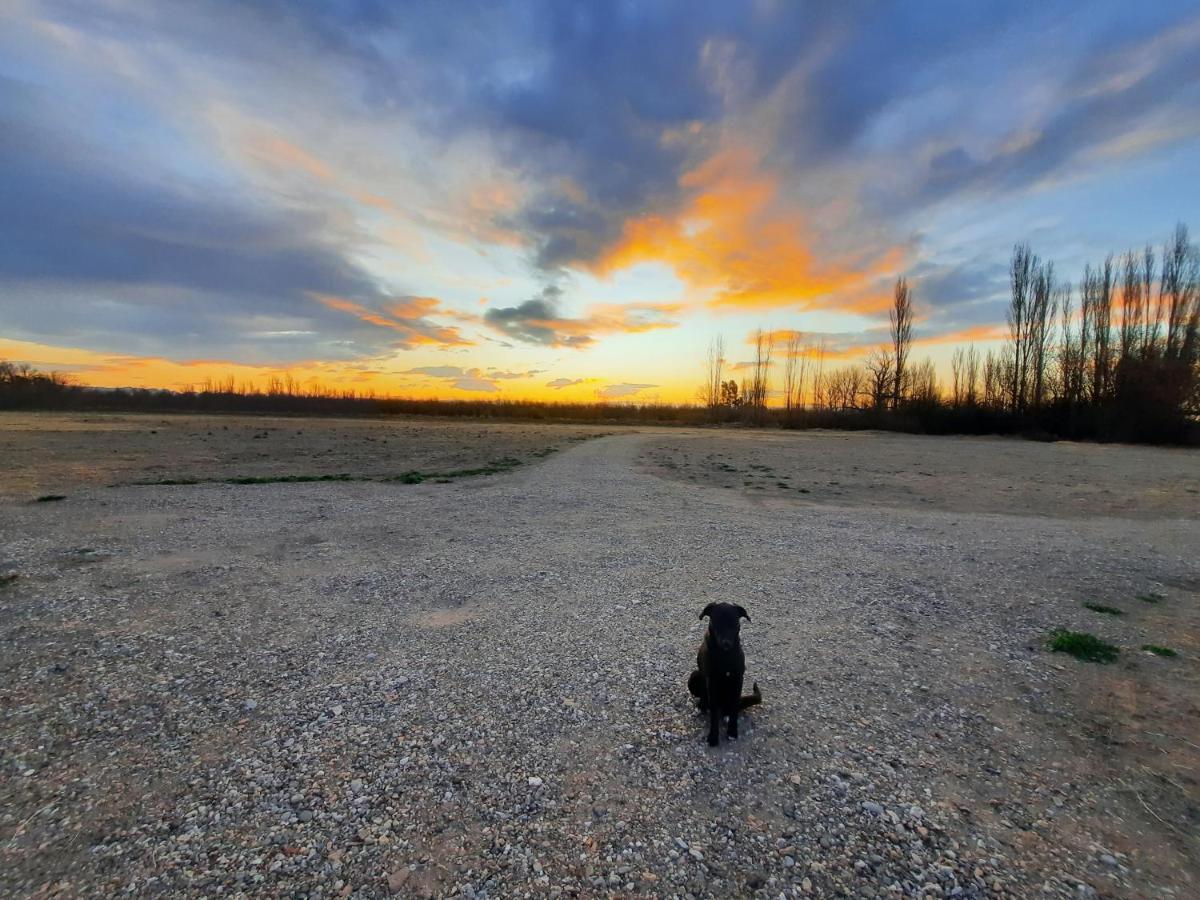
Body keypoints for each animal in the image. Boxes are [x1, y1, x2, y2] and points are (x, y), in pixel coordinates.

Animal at [686, 607, 758, 748]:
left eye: (734, 622)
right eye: (717, 622)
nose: (726, 643)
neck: (725, 655)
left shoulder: (738, 679)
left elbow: (734, 708)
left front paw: (732, 731)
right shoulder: (712, 682)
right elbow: (714, 714)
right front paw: (713, 737)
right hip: (694, 676)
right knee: (706, 700)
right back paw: (702, 707)